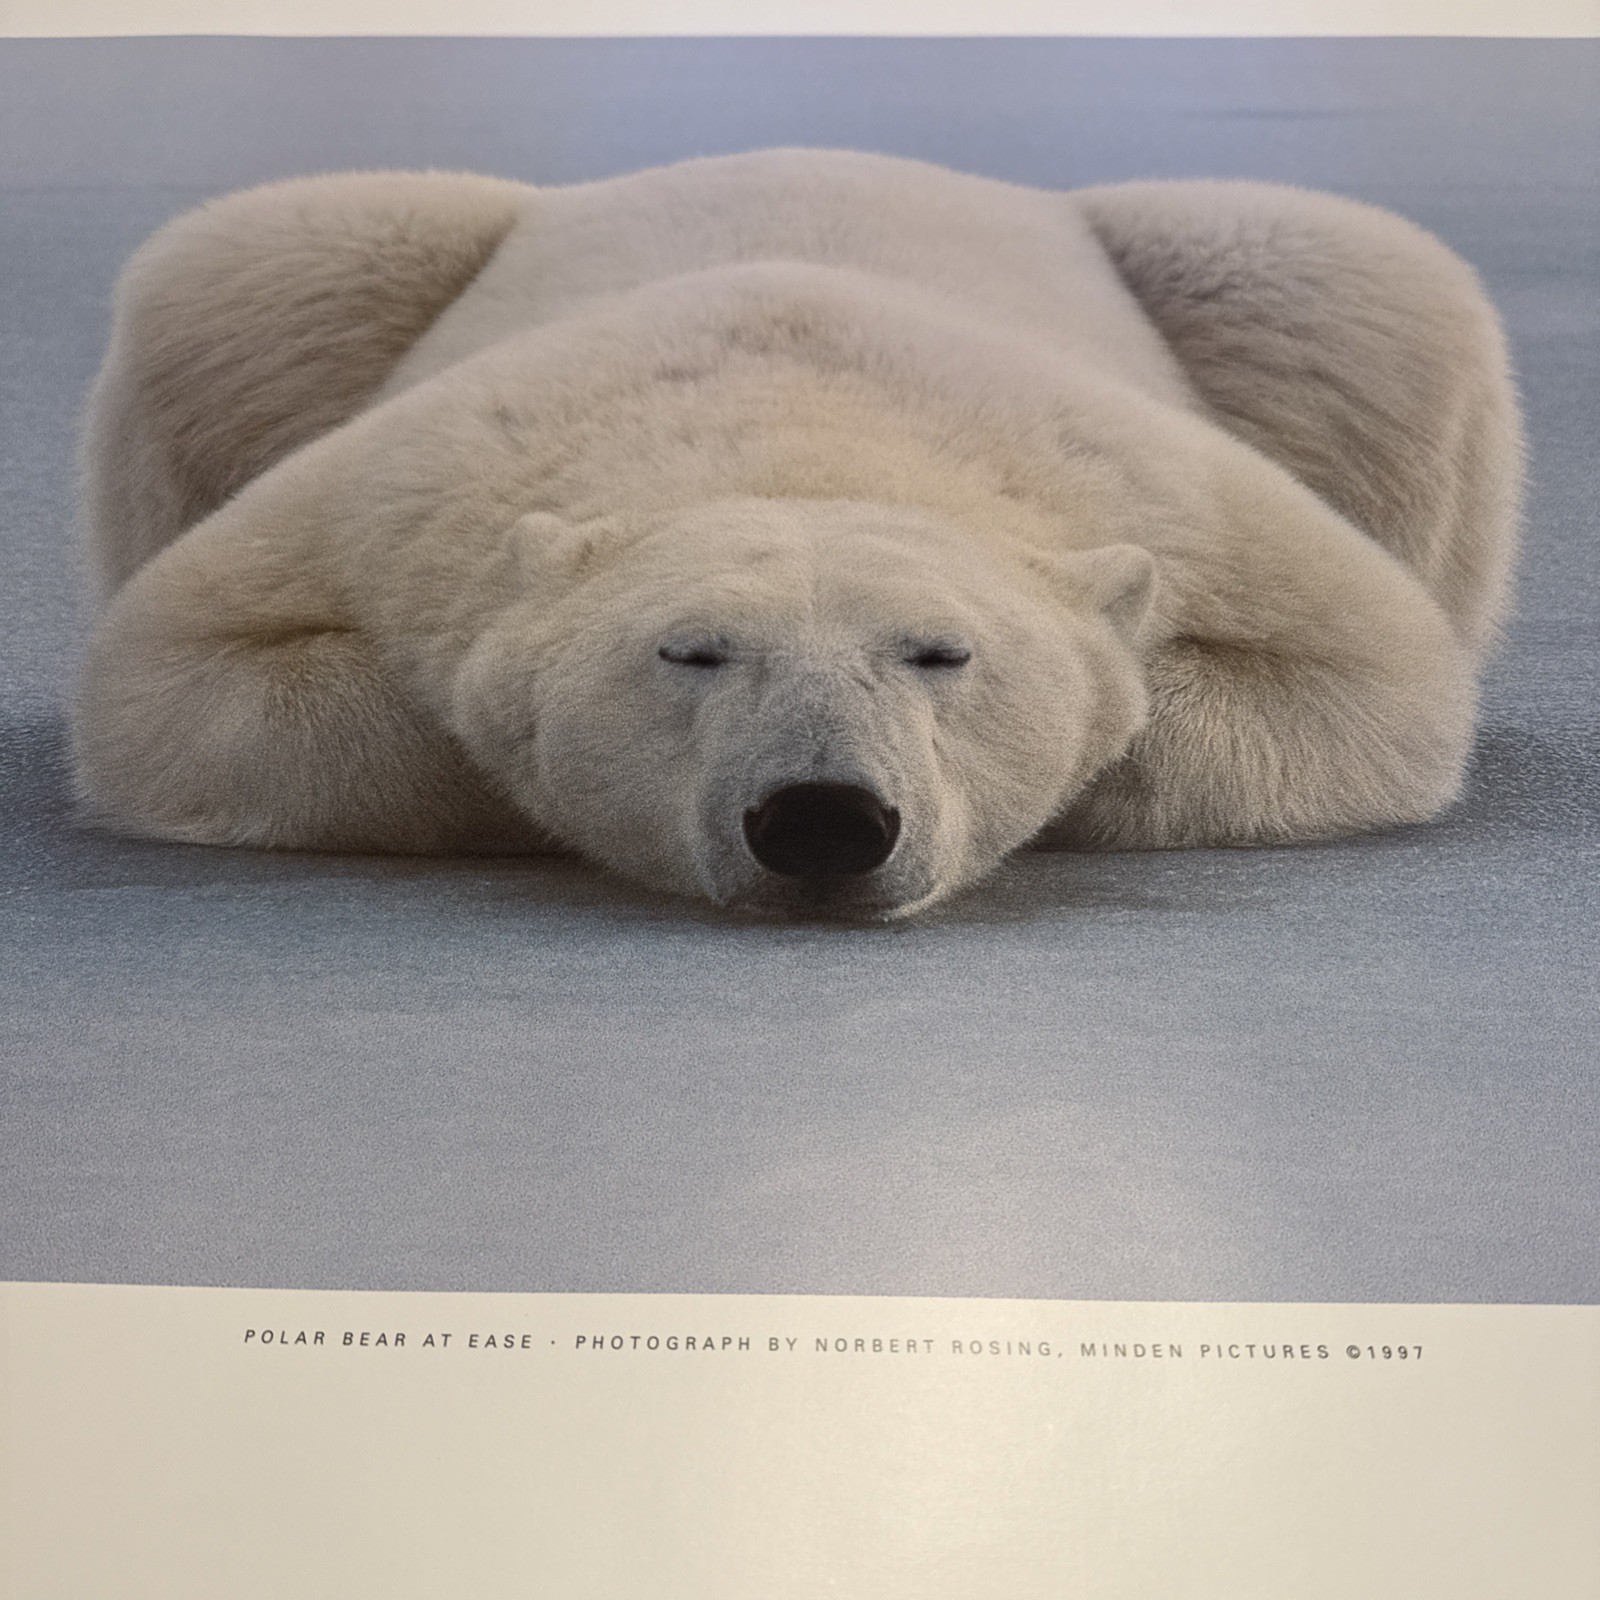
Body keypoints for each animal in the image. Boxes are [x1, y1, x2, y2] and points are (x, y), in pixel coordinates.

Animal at [72, 148, 1523, 919]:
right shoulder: (406, 493)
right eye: (690, 652)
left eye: (942, 653)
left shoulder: (1175, 495)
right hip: (336, 283)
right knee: (258, 266)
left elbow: (1371, 679)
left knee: (1354, 288)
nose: (825, 818)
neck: (803, 422)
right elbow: (176, 677)